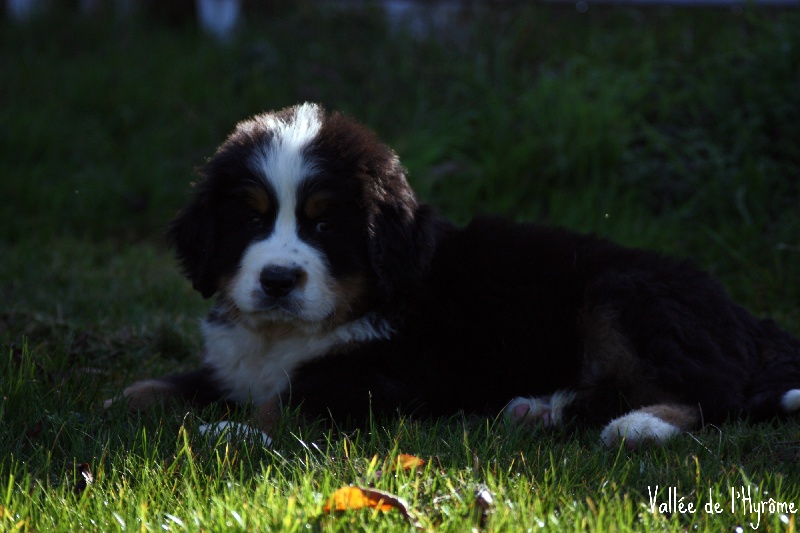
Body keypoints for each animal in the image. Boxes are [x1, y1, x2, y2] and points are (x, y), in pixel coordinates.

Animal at [109, 102, 800, 449]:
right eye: (251, 221)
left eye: (325, 226)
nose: (278, 280)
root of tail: (747, 317)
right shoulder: (233, 363)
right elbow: (172, 383)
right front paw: (122, 401)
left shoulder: (388, 376)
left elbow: (294, 398)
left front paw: (231, 429)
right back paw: (541, 410)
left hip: (625, 292)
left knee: (714, 394)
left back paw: (636, 426)